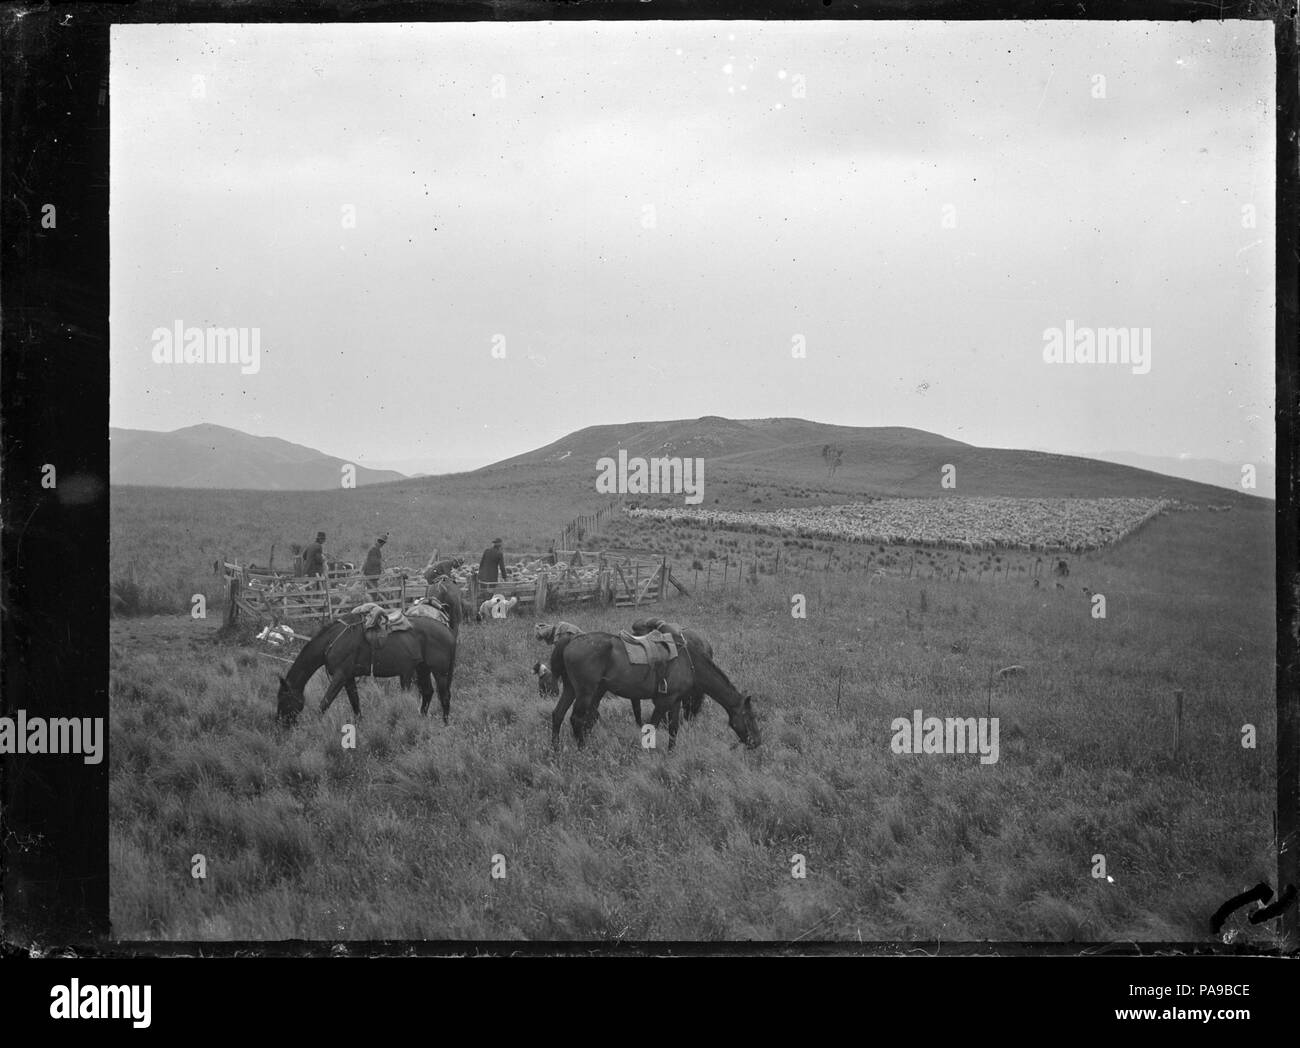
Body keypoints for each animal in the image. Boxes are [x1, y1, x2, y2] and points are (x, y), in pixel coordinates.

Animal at [548, 637, 759, 748]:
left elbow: (673, 728)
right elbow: (651, 727)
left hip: (570, 689)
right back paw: (582, 749)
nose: (757, 742)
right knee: (576, 719)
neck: (689, 664)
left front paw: (671, 753)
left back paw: (555, 749)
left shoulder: (675, 701)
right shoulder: (664, 702)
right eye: (749, 717)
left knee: (558, 714)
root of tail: (570, 640)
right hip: (585, 692)